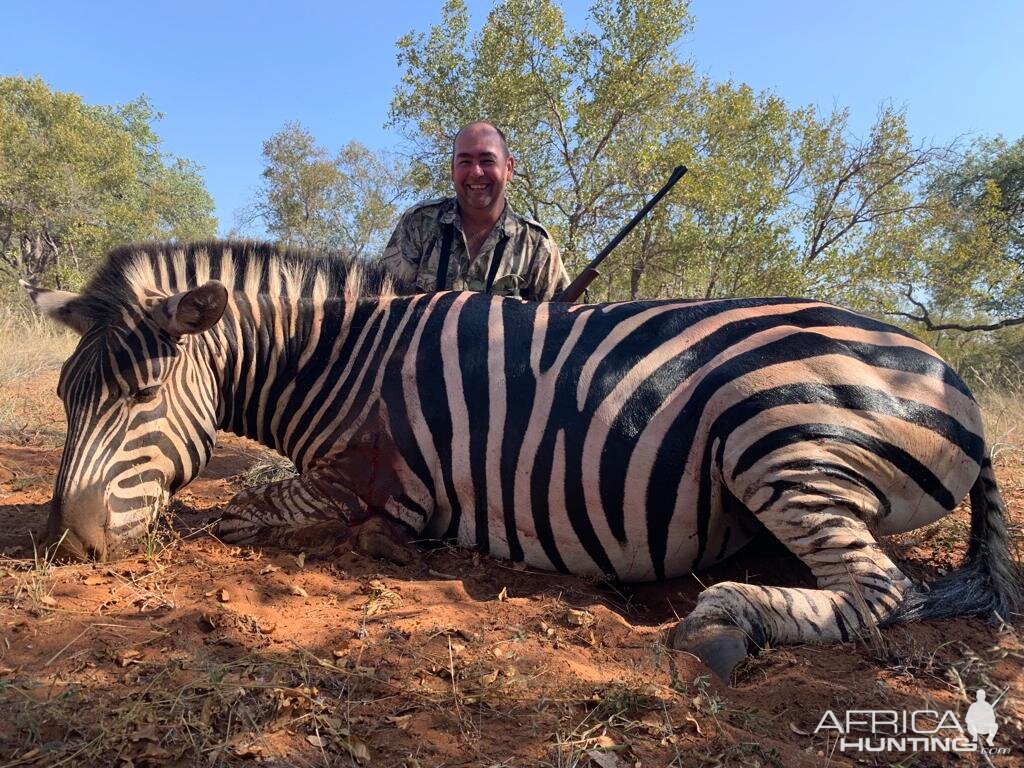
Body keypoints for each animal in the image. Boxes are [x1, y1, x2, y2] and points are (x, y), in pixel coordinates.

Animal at [24, 239, 1015, 679]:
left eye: (142, 397)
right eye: (67, 398)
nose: (66, 543)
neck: (344, 359)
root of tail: (951, 373)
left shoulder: (364, 482)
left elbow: (243, 508)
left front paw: (387, 546)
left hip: (775, 436)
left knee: (883, 591)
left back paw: (721, 622)